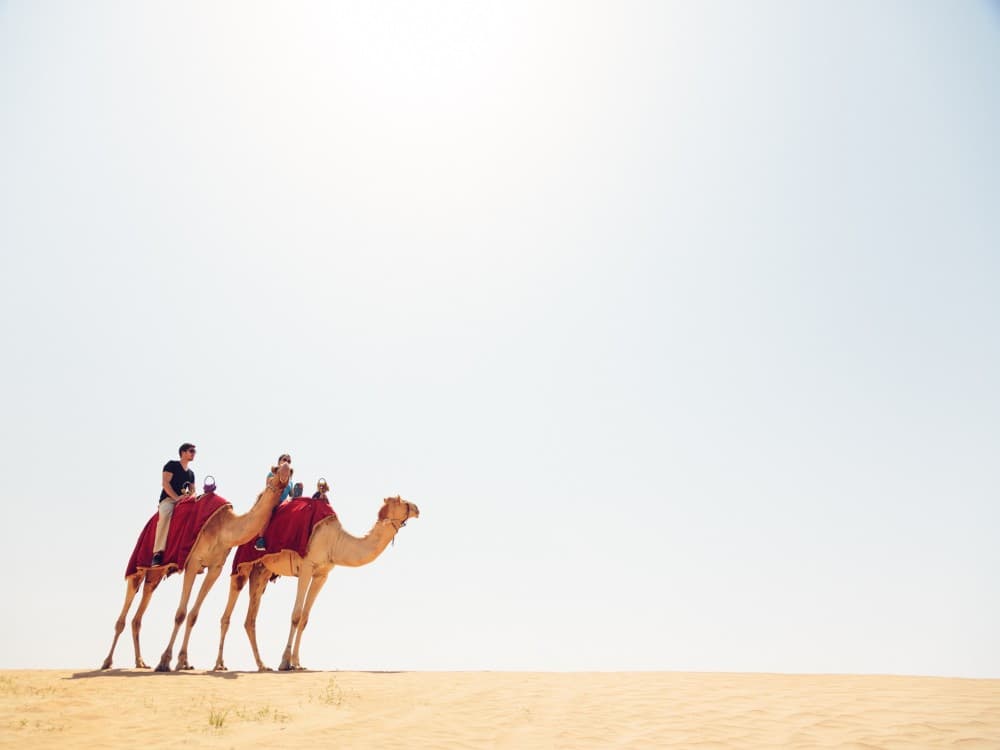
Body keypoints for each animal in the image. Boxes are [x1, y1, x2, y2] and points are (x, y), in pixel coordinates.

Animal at [101, 462, 292, 671]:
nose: (287, 471)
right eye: (276, 469)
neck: (224, 528)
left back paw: (140, 661)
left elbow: (193, 615)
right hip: (139, 564)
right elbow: (181, 614)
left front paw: (183, 661)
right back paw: (107, 661)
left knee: (139, 613)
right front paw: (165, 661)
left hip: (155, 575)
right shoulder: (192, 563)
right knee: (125, 610)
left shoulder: (215, 568)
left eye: (289, 469)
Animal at [213, 495, 419, 672]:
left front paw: (298, 663)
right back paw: (219, 664)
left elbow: (305, 618)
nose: (417, 508)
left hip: (262, 570)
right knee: (229, 609)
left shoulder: (322, 574)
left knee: (250, 619)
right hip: (243, 563)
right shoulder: (307, 566)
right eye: (402, 501)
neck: (335, 541)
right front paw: (285, 662)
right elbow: (296, 615)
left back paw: (262, 665)